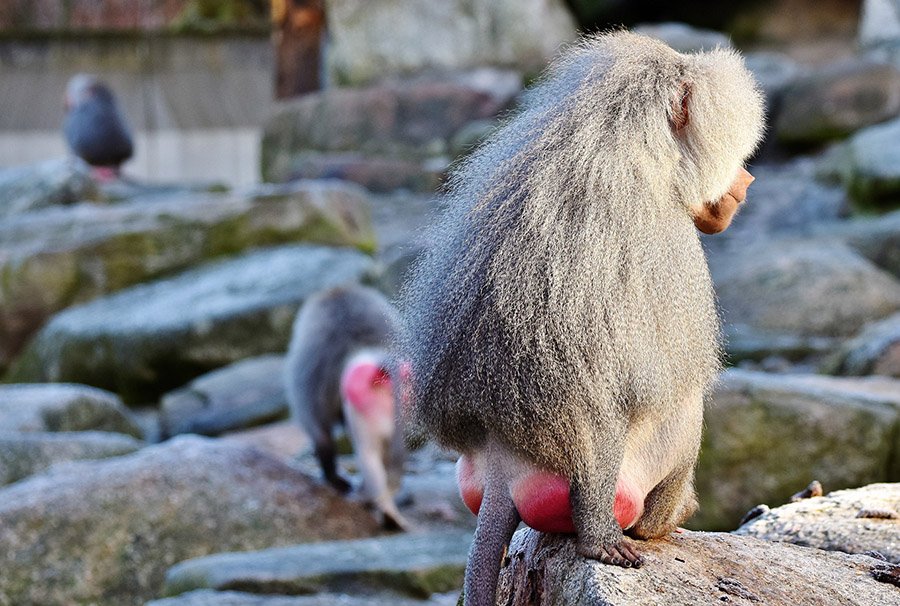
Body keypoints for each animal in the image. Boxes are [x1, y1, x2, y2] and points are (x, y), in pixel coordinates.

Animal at [399, 32, 764, 605]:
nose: (746, 181)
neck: (618, 135)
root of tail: (502, 460)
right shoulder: (666, 235)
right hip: (630, 473)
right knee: (680, 407)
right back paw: (652, 523)